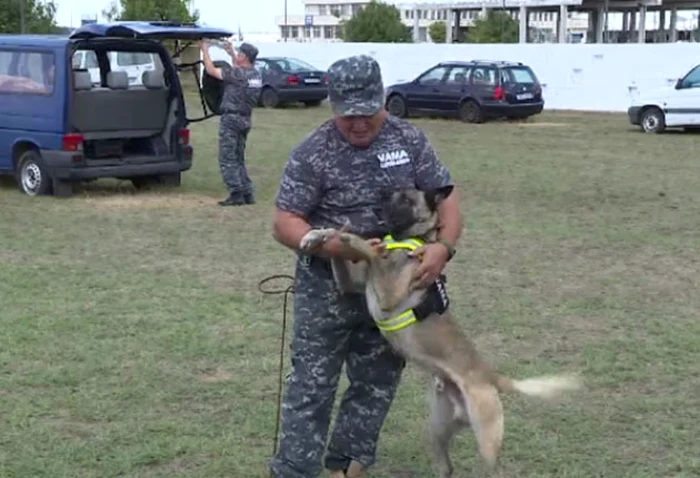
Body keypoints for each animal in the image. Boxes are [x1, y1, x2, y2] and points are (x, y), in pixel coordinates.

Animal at [300, 187, 580, 478]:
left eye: (405, 198)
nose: (382, 195)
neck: (405, 239)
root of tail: (491, 376)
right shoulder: (351, 284)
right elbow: (343, 250)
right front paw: (320, 234)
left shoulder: (390, 292)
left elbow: (371, 250)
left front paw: (349, 238)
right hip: (437, 430)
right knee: (447, 467)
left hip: (486, 440)